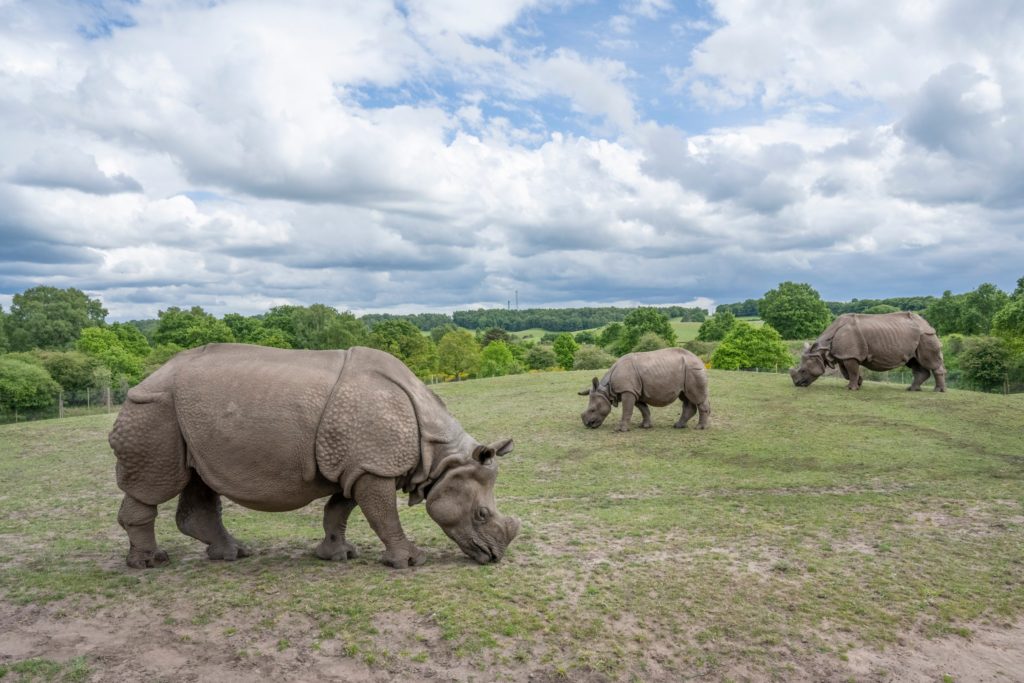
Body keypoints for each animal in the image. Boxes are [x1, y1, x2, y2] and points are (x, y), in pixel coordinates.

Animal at [110, 344, 520, 569]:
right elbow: (383, 514)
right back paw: (150, 564)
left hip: (186, 418)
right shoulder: (373, 466)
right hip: (154, 409)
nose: (495, 557)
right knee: (156, 484)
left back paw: (233, 554)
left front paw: (338, 555)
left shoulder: (355, 465)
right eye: (481, 515)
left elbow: (339, 510)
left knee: (199, 478)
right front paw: (409, 562)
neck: (440, 457)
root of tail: (150, 376)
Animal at [786, 313, 946, 393]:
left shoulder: (850, 355)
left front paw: (851, 389)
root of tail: (926, 322)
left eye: (803, 370)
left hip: (926, 336)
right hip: (917, 338)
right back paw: (912, 389)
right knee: (914, 362)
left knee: (929, 361)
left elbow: (852, 371)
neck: (822, 349)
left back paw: (938, 391)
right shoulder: (844, 355)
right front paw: (859, 383)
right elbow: (848, 373)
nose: (797, 384)